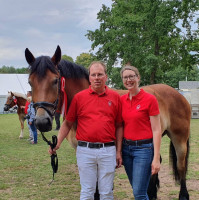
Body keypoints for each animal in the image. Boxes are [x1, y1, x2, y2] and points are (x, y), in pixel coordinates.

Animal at [25, 46, 191, 200]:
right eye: (30, 82)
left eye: (55, 80)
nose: (41, 122)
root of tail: (178, 95)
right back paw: (152, 193)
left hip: (179, 138)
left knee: (181, 166)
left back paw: (183, 195)